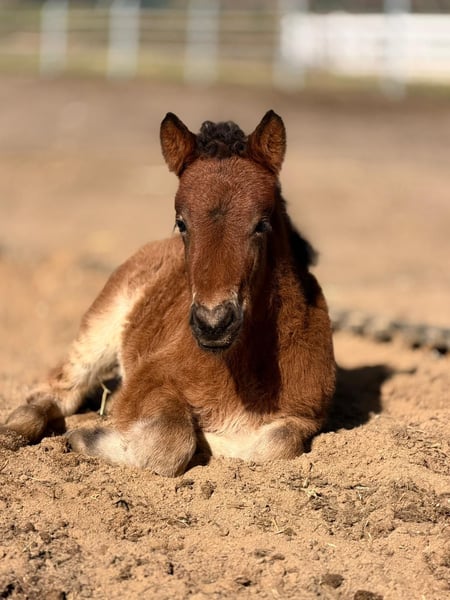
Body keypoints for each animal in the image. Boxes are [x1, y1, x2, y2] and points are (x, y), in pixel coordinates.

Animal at [2, 110, 336, 476]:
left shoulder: (306, 414)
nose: (213, 324)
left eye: (262, 224)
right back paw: (15, 431)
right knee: (60, 388)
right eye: (181, 222)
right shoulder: (151, 379)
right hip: (99, 324)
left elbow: (277, 444)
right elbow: (170, 438)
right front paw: (86, 437)